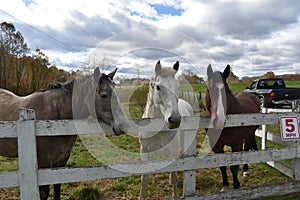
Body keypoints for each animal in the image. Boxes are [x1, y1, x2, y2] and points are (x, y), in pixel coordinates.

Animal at [0, 67, 129, 200]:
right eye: (103, 95)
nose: (124, 125)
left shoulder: (61, 161)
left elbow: (57, 187)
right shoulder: (43, 162)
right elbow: (44, 193)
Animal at [139, 60, 193, 199]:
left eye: (177, 87)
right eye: (158, 87)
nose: (175, 120)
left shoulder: (172, 153)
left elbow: (174, 178)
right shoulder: (145, 153)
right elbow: (144, 179)